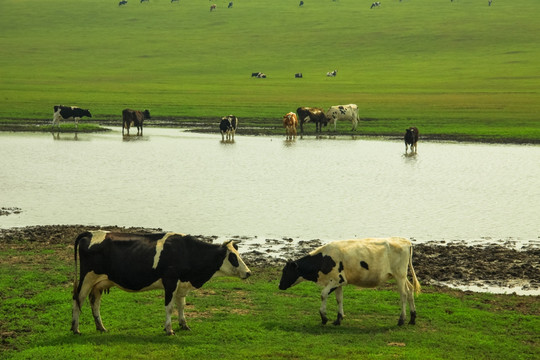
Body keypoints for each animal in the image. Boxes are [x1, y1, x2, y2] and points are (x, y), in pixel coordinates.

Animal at [70, 232, 253, 336]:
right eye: (233, 257)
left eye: (238, 254)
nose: (249, 272)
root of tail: (90, 232)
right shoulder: (170, 281)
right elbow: (169, 307)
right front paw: (169, 329)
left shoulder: (181, 284)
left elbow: (182, 305)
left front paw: (184, 325)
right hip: (87, 278)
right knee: (78, 299)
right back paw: (75, 329)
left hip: (99, 282)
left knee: (94, 303)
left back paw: (101, 327)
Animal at [278, 238, 422, 328]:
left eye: (286, 271)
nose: (279, 286)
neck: (324, 259)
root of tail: (405, 241)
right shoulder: (338, 283)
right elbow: (339, 299)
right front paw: (338, 319)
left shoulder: (338, 280)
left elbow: (323, 294)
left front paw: (324, 317)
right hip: (402, 276)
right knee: (410, 291)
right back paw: (412, 319)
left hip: (399, 275)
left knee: (403, 295)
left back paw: (401, 320)